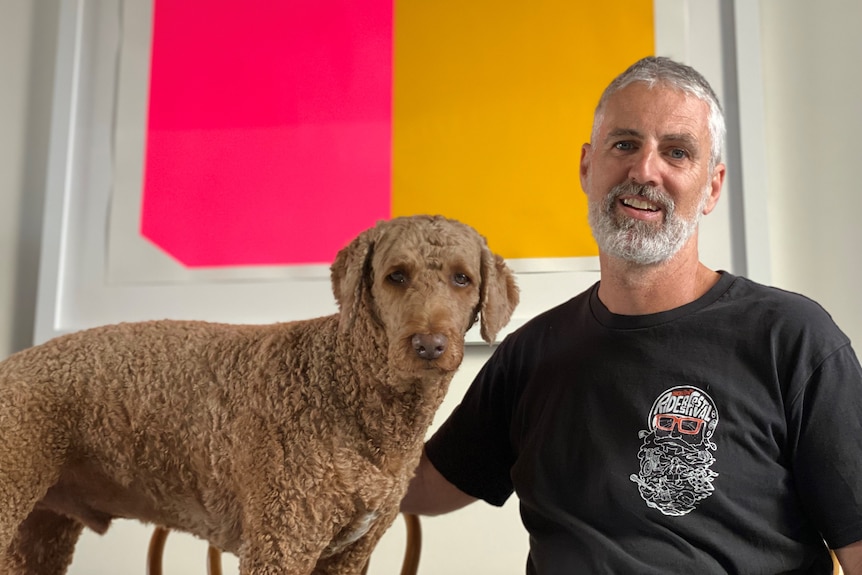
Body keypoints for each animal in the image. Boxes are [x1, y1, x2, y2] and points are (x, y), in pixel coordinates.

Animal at [0, 216, 520, 575]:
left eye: (462, 278)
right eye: (396, 275)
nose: (429, 345)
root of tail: (12, 364)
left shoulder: (349, 554)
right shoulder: (282, 542)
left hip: (41, 530)